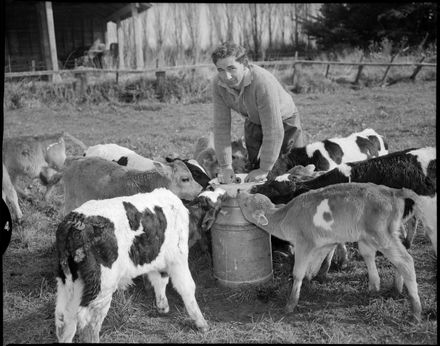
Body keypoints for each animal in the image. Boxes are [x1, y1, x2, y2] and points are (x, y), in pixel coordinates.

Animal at [55, 189, 215, 344]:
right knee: (89, 324)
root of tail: (76, 221)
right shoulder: (178, 259)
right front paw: (202, 323)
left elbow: (160, 281)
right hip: (101, 287)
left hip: (70, 285)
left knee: (64, 320)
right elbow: (187, 287)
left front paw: (162, 306)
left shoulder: (158, 261)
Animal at [239, 184, 424, 322]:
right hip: (378, 235)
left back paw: (415, 311)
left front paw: (291, 304)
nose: (240, 191)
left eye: (246, 204)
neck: (286, 216)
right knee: (378, 255)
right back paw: (386, 288)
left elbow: (298, 273)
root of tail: (392, 191)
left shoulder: (304, 243)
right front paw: (314, 277)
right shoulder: (323, 243)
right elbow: (316, 264)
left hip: (382, 235)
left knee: (405, 261)